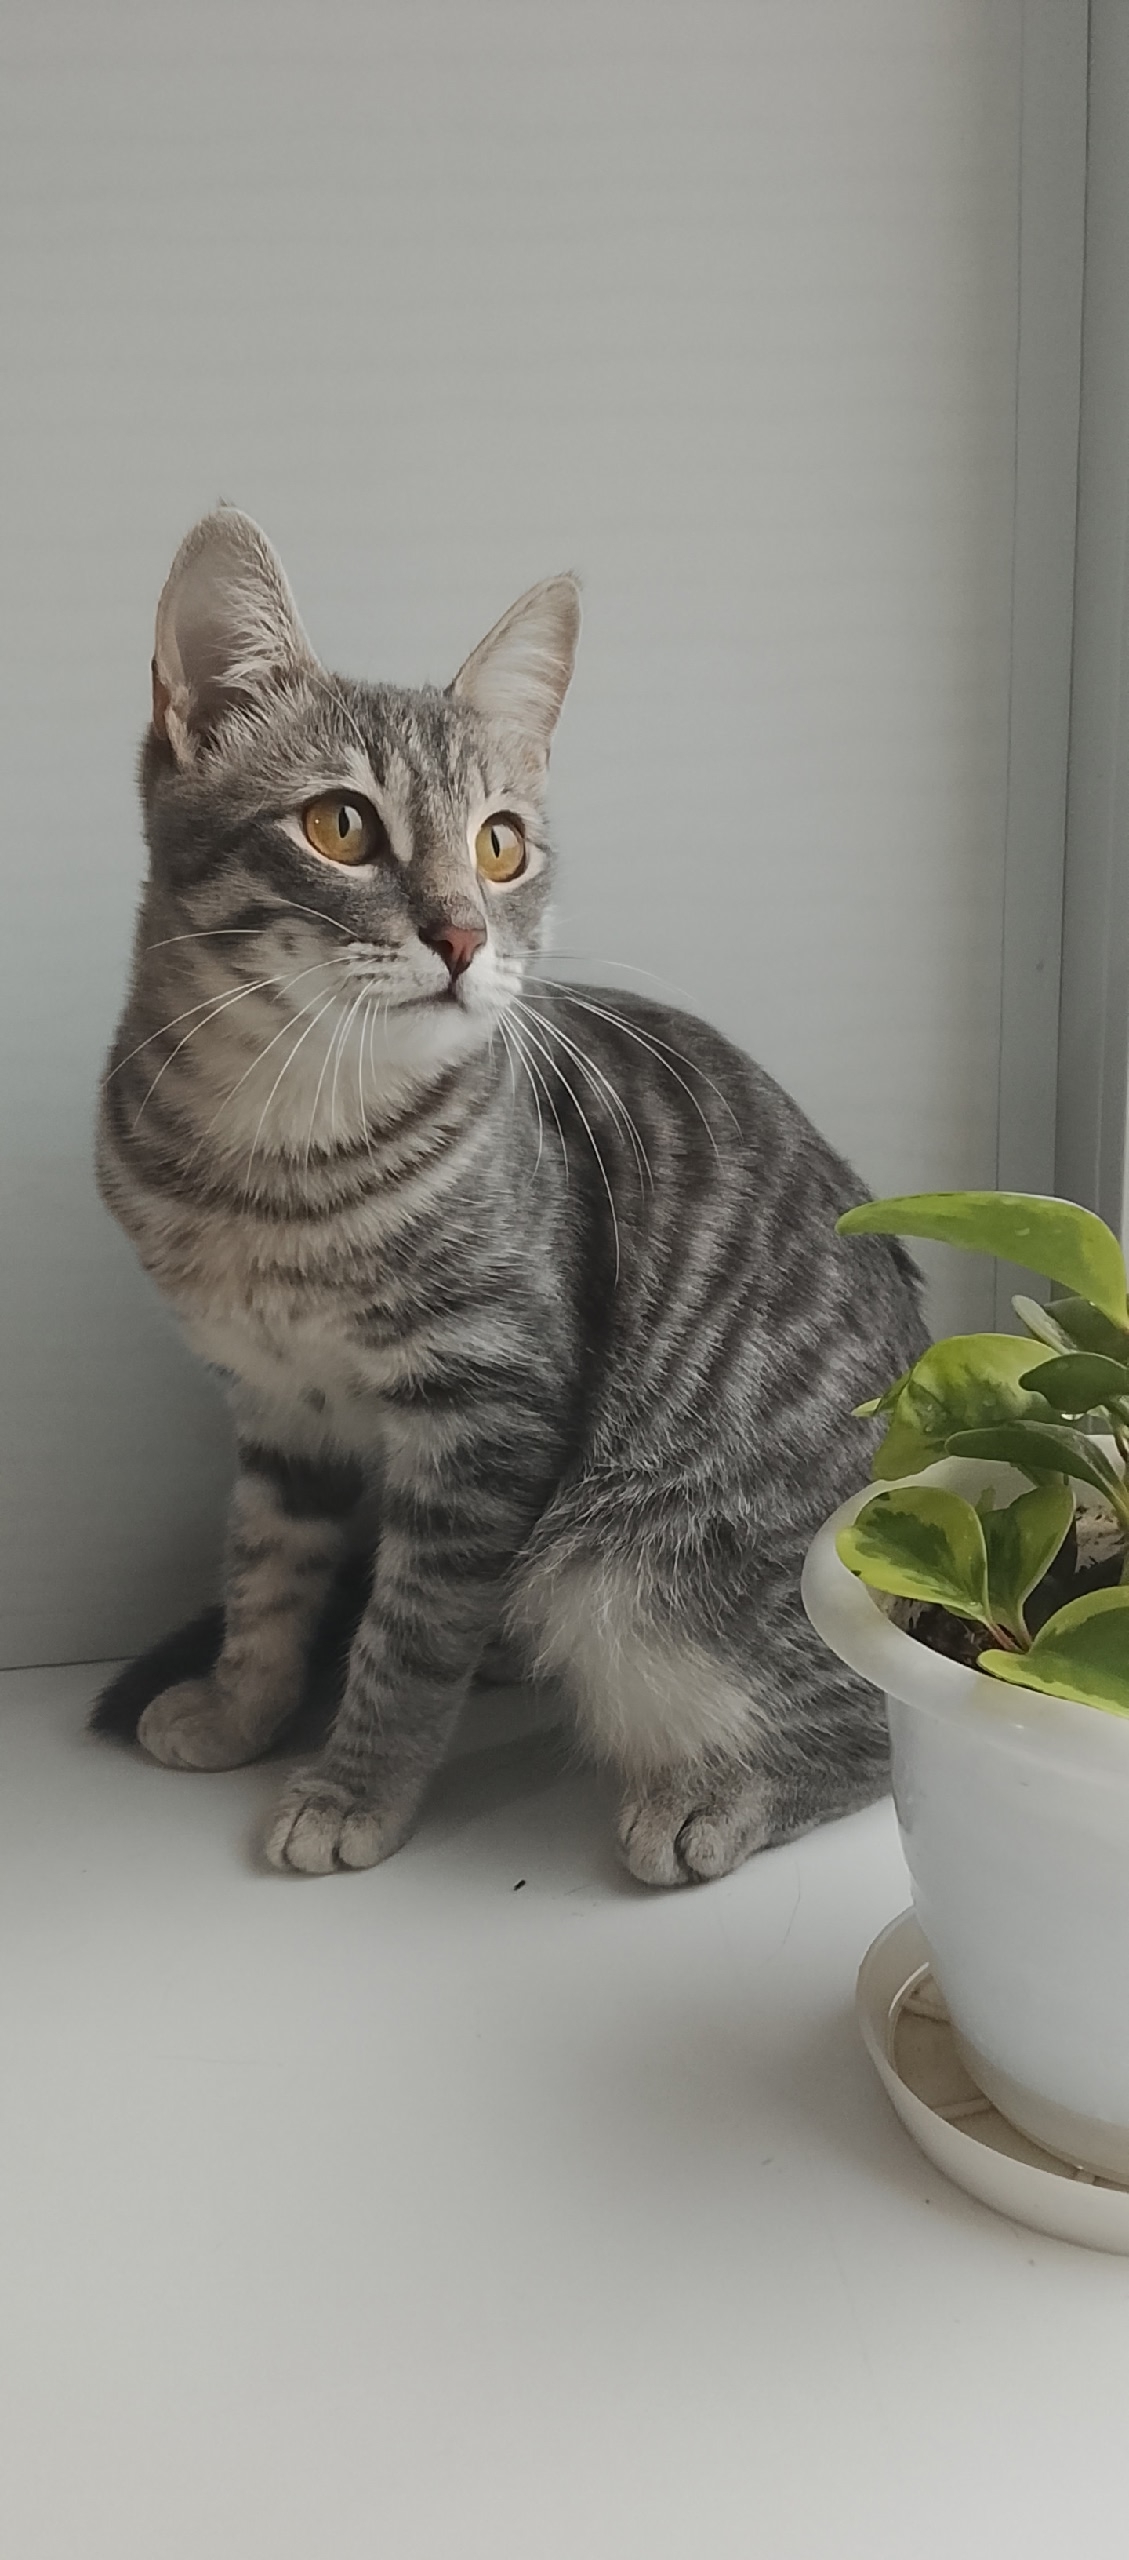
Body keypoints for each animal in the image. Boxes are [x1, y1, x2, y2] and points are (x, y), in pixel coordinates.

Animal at [92, 507, 925, 1884]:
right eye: (339, 825)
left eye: (499, 843)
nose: (462, 936)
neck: (276, 1161)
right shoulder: (276, 1406)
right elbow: (268, 1571)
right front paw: (241, 1704)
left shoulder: (489, 1408)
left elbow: (408, 1632)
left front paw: (356, 1789)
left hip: (631, 1569)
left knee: (874, 1717)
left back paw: (714, 1795)